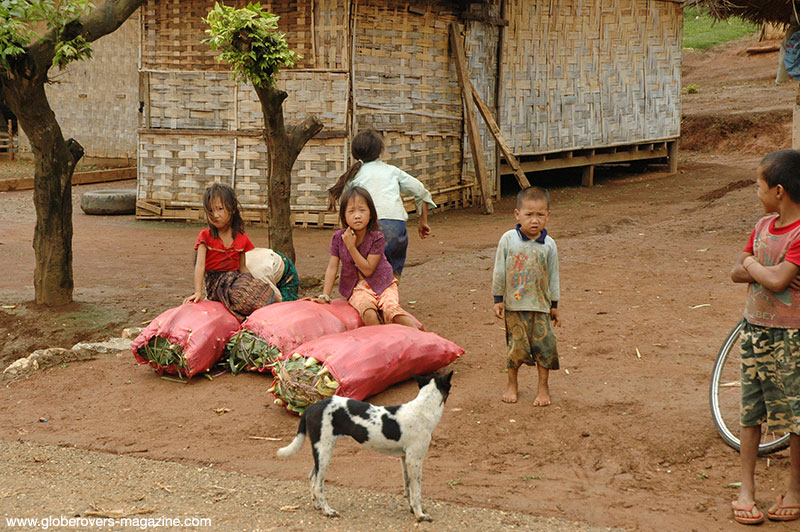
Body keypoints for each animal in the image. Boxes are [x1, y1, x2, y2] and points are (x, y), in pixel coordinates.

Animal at [276, 372, 450, 520]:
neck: (422, 410)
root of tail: (311, 407)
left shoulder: (404, 459)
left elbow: (408, 489)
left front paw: (412, 509)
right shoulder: (415, 461)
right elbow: (417, 492)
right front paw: (420, 515)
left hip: (321, 452)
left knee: (312, 477)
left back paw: (317, 506)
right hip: (324, 452)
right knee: (319, 485)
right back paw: (328, 511)